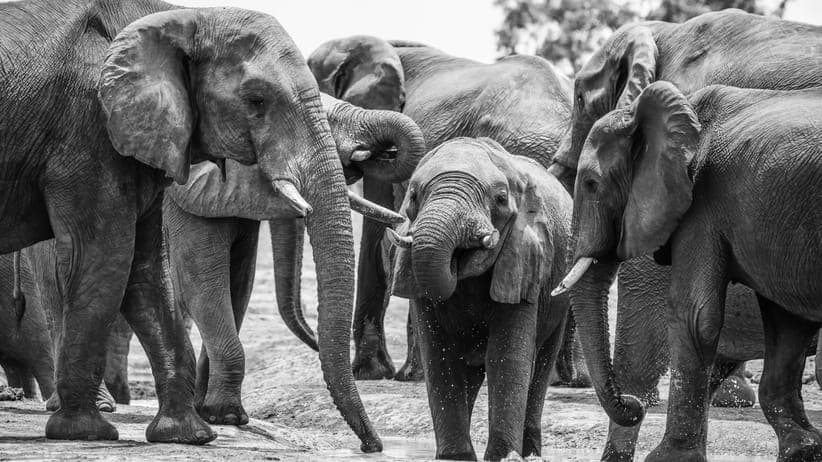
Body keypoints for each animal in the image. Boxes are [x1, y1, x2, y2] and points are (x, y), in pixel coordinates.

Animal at [0, 0, 379, 450]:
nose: (371, 446)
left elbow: (147, 271)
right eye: (256, 100)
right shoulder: (85, 131)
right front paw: (85, 431)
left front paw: (189, 433)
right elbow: (107, 258)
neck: (183, 17)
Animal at [162, 92, 425, 426]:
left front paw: (209, 411)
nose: (385, 152)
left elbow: (238, 287)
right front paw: (228, 416)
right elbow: (202, 286)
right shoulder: (183, 194)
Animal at [388, 137, 573, 460]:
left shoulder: (525, 260)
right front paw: (455, 458)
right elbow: (441, 356)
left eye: (500, 198)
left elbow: (506, 357)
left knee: (541, 366)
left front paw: (504, 457)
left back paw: (531, 453)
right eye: (412, 195)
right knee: (469, 371)